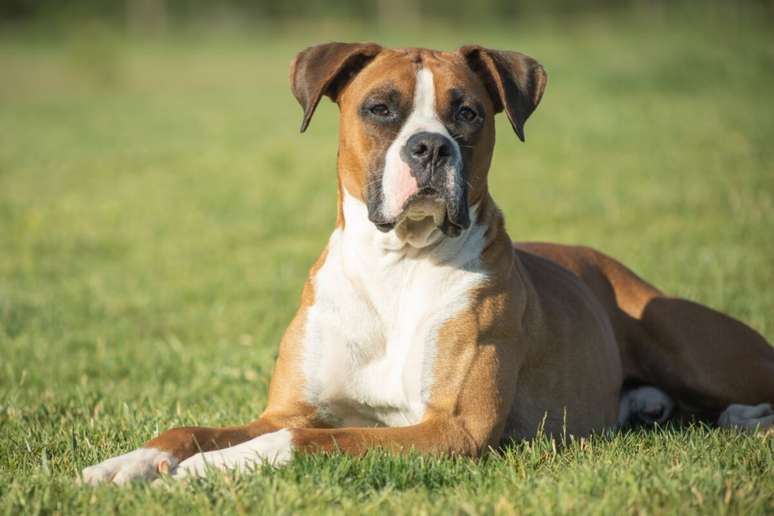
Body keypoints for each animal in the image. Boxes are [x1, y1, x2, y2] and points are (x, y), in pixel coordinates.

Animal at [82, 41, 772, 484]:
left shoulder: (449, 430)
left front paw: (208, 469)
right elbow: (190, 428)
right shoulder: (284, 409)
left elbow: (308, 441)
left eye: (467, 112)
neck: (396, 266)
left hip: (692, 346)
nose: (429, 147)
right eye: (380, 108)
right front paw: (130, 463)